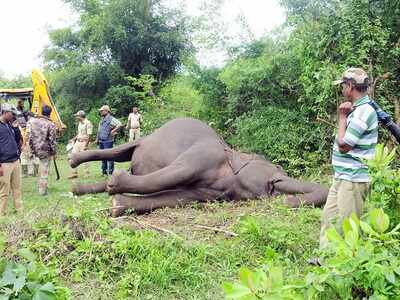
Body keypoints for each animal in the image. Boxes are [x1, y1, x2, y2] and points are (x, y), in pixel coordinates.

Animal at [69, 118, 328, 218]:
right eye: (277, 167)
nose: (288, 201)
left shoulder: (213, 193)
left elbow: (178, 197)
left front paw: (117, 204)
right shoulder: (204, 153)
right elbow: (177, 172)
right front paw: (116, 183)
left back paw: (77, 190)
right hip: (143, 140)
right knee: (119, 151)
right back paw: (74, 161)